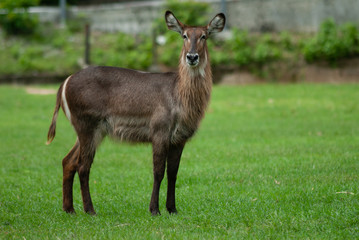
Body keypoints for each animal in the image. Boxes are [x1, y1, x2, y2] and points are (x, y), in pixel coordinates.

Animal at [47, 10, 226, 216]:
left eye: (204, 36)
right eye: (184, 35)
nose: (192, 57)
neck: (179, 96)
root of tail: (64, 83)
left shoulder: (179, 138)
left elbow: (173, 173)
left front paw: (172, 209)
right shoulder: (159, 132)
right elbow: (158, 172)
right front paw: (154, 209)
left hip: (93, 131)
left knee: (68, 161)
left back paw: (69, 209)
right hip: (87, 125)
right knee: (83, 166)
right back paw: (90, 210)